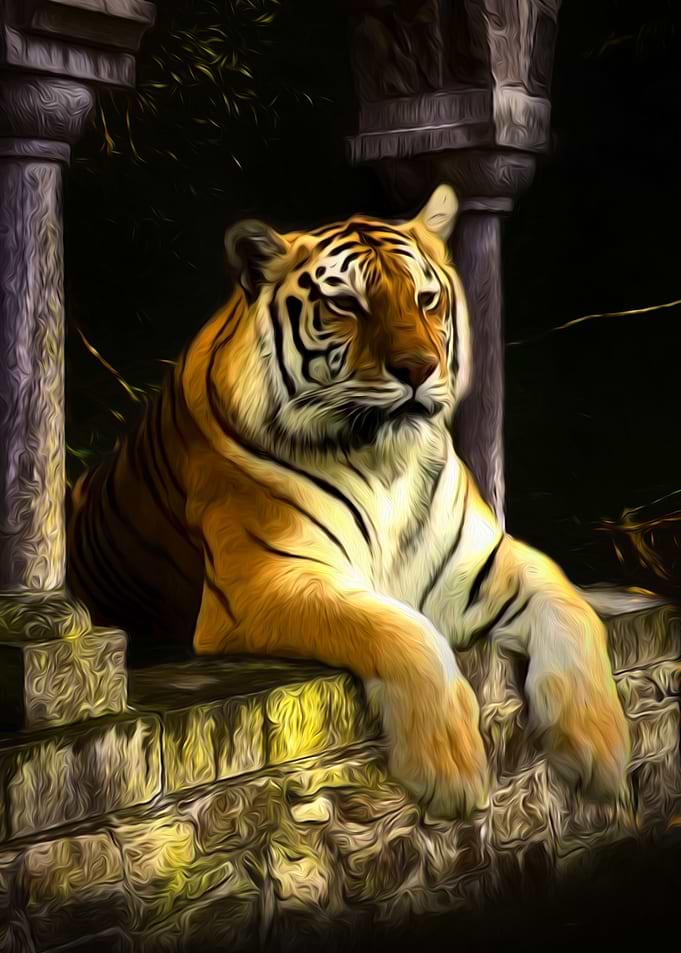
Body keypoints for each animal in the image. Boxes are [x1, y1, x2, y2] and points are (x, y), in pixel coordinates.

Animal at [67, 185, 630, 818]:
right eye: (346, 305)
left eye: (427, 299)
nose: (418, 368)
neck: (385, 463)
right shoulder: (266, 581)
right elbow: (399, 628)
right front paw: (451, 770)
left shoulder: (485, 563)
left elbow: (573, 609)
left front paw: (601, 754)